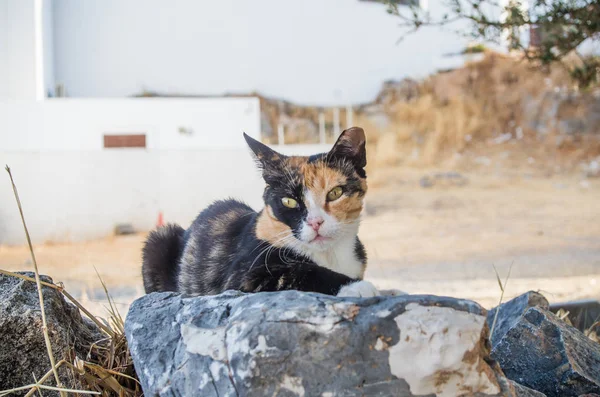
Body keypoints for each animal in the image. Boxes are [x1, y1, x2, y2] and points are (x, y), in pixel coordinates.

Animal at [142, 127, 380, 296]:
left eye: (335, 193)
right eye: (288, 201)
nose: (315, 222)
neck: (329, 254)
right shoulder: (242, 277)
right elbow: (299, 271)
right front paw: (355, 286)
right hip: (159, 238)